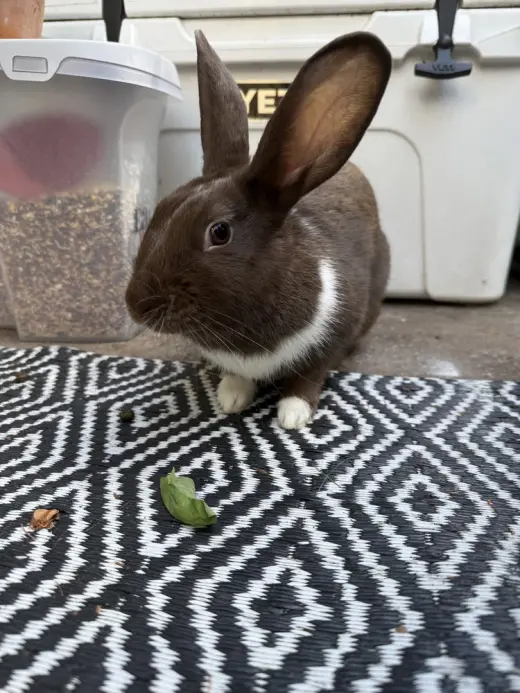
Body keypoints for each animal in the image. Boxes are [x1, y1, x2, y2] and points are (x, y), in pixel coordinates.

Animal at [126, 29, 392, 430]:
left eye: (219, 232)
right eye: (160, 209)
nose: (136, 305)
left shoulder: (333, 336)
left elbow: (309, 375)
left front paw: (293, 414)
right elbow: (237, 376)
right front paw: (231, 397)